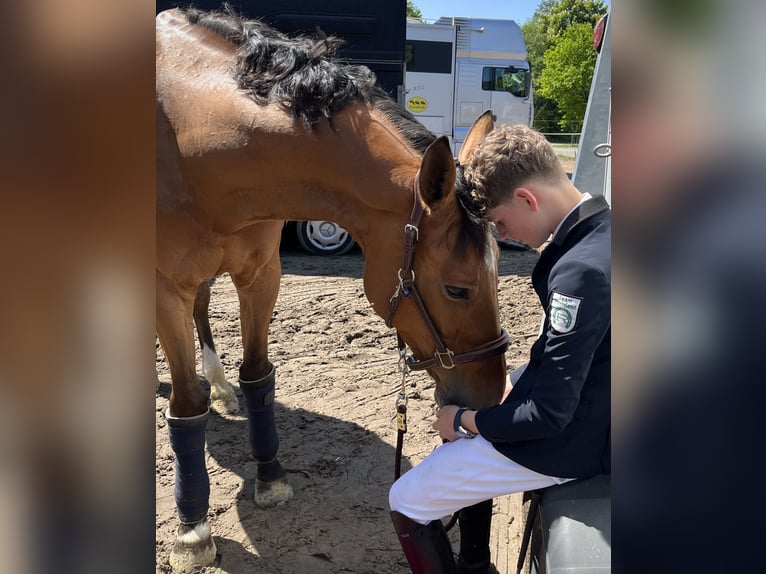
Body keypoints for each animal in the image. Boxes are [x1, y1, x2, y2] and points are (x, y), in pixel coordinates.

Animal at [156, 6, 509, 571]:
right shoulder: (167, 287)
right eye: (458, 289)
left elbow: (258, 375)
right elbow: (186, 406)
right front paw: (193, 528)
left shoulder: (261, 273)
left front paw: (269, 475)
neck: (194, 138)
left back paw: (220, 386)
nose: (490, 396)